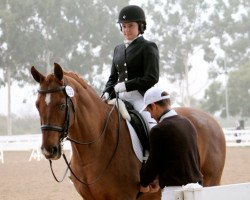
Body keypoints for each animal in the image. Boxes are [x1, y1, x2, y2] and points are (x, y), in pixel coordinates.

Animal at [30, 63, 226, 199]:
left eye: (62, 105)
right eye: (37, 105)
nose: (49, 150)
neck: (97, 145)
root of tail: (211, 120)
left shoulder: (123, 196)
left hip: (210, 182)